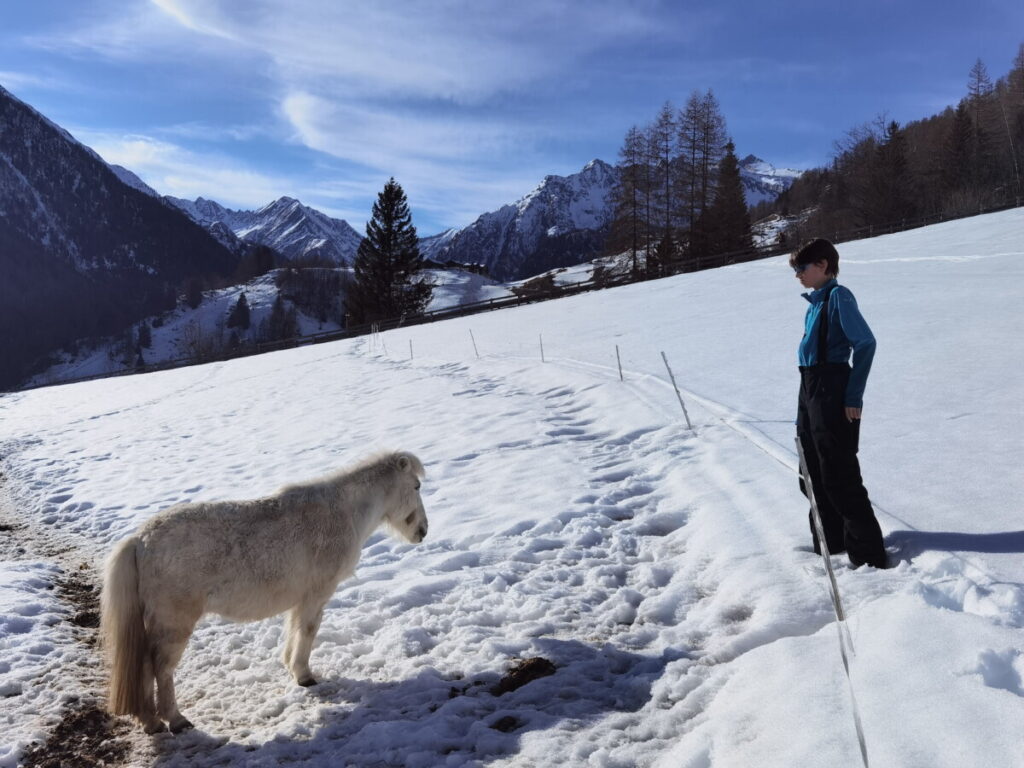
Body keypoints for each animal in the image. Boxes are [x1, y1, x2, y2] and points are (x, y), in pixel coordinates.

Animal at [99, 454, 428, 737]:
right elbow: (308, 632)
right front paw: (305, 676)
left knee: (143, 667)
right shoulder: (316, 595)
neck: (341, 512)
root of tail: (140, 540)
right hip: (173, 625)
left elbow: (294, 631)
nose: (423, 531)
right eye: (416, 486)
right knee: (161, 669)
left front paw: (293, 670)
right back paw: (176, 720)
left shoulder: (300, 599)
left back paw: (152, 722)